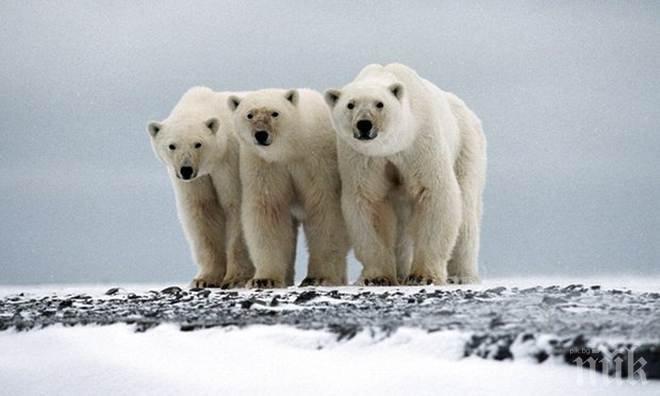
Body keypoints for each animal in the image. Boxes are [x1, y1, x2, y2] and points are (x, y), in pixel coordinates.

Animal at [147, 86, 253, 288]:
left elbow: (236, 206)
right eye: (172, 145)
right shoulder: (196, 181)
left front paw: (235, 278)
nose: (186, 169)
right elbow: (202, 211)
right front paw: (205, 279)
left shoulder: (230, 162)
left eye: (198, 144)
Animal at [228, 89, 350, 288]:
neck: (291, 149)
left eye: (275, 113)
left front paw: (319, 277)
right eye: (249, 114)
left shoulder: (318, 162)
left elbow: (325, 210)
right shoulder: (264, 166)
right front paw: (264, 279)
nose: (261, 134)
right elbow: (268, 213)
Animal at [324, 64, 484, 284]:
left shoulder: (421, 143)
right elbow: (368, 201)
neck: (395, 144)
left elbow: (435, 193)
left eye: (380, 104)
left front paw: (423, 276)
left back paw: (461, 276)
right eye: (350, 104)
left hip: (466, 148)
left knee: (466, 213)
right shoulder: (363, 158)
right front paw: (376, 278)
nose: (364, 124)